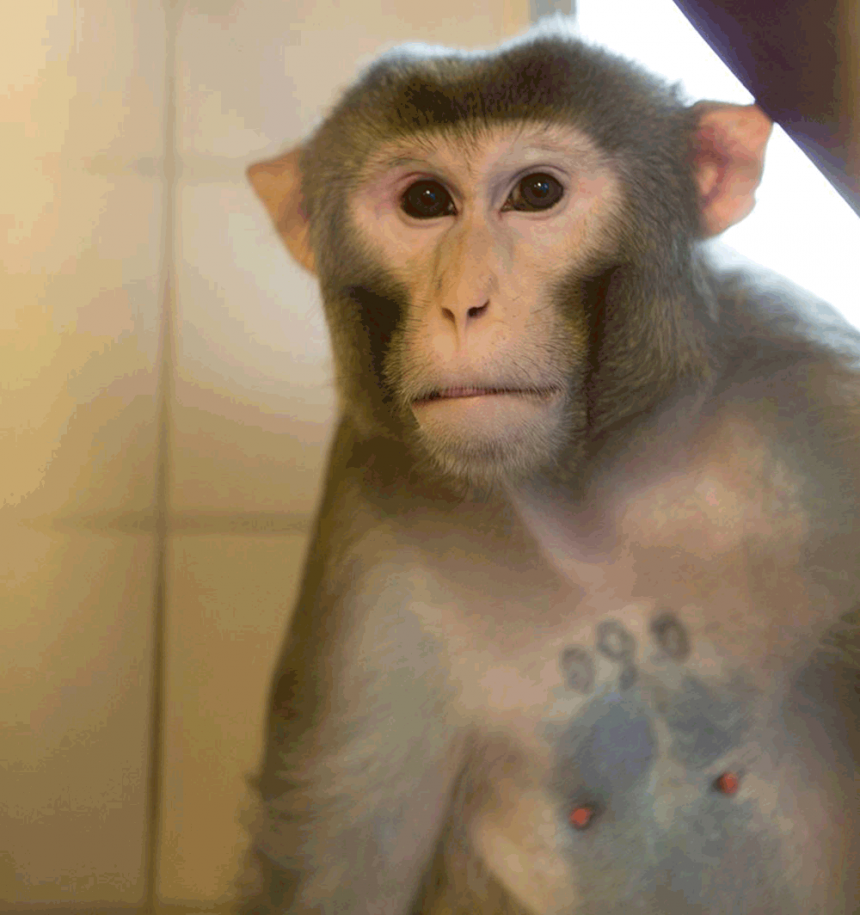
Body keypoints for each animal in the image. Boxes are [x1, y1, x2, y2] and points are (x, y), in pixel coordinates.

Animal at [242, 20, 860, 915]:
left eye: (536, 192)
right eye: (424, 201)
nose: (463, 302)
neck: (591, 486)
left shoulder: (819, 400)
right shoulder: (376, 509)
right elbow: (339, 873)